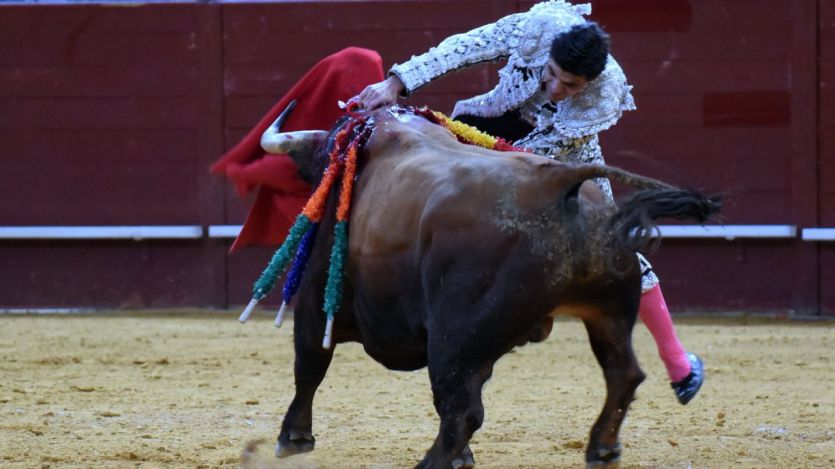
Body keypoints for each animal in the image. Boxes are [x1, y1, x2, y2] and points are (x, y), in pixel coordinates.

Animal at [247, 100, 720, 466]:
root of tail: (556, 183)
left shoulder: (315, 296)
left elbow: (309, 364)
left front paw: (293, 438)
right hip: (607, 311)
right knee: (623, 374)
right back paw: (601, 448)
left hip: (455, 335)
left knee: (461, 407)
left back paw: (432, 463)